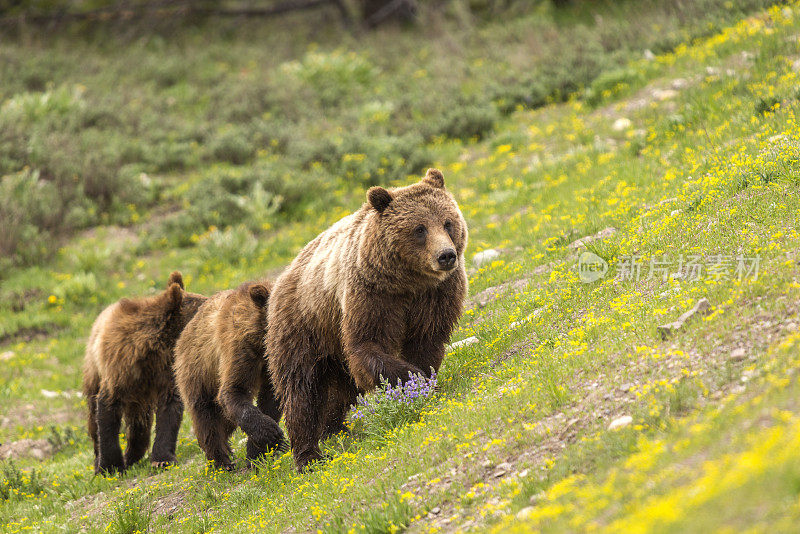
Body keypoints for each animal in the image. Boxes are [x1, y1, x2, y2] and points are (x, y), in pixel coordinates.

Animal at [80, 274, 206, 476]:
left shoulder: (166, 372)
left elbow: (169, 411)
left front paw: (162, 459)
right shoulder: (118, 368)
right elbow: (107, 411)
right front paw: (109, 465)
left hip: (139, 396)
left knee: (140, 422)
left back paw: (133, 455)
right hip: (94, 369)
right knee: (93, 414)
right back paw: (100, 458)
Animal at [268, 170, 468, 472]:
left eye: (448, 222)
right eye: (419, 229)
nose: (446, 255)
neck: (409, 282)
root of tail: (283, 275)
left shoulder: (434, 296)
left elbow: (427, 342)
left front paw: (423, 380)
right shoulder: (372, 296)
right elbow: (368, 345)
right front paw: (413, 377)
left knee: (337, 390)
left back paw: (333, 428)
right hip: (302, 326)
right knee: (301, 390)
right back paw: (308, 455)